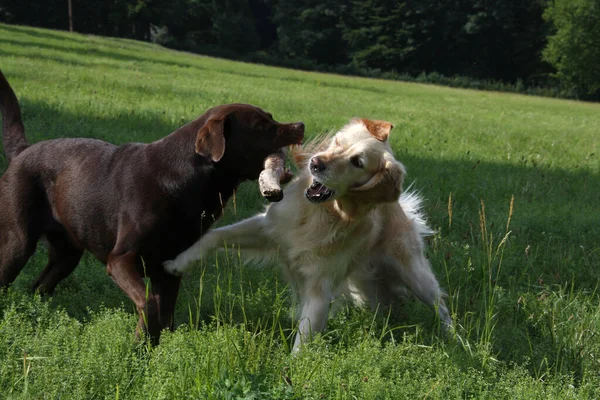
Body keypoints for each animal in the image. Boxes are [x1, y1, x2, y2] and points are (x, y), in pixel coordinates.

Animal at [0, 69, 302, 344]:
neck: (186, 181)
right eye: (261, 126)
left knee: (39, 285)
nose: (300, 124)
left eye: (272, 116)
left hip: (67, 253)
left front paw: (147, 353)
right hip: (17, 243)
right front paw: (137, 349)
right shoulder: (121, 259)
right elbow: (149, 305)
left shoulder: (168, 269)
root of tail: (23, 152)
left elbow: (163, 316)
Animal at [164, 118, 450, 350]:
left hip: (414, 273)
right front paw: (178, 263)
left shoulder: (320, 288)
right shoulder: (268, 228)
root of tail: (399, 205)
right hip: (367, 284)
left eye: (357, 162)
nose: (315, 163)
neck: (323, 213)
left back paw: (455, 341)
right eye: (337, 142)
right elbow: (214, 236)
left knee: (441, 305)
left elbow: (302, 342)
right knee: (389, 306)